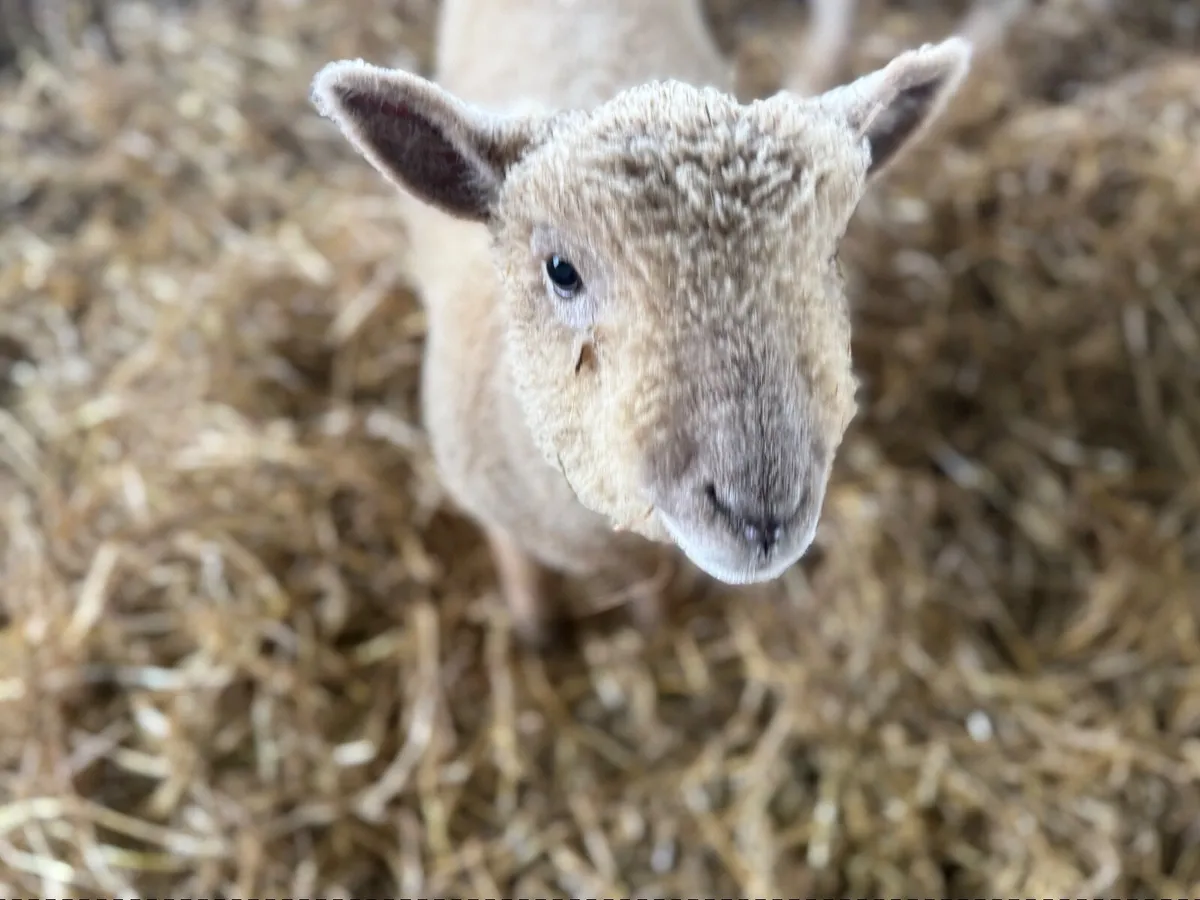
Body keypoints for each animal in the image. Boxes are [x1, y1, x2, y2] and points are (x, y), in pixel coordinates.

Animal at [310, 0, 973, 645]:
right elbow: (523, 580)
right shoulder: (489, 499)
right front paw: (535, 632)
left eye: (830, 254)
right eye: (561, 271)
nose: (760, 515)